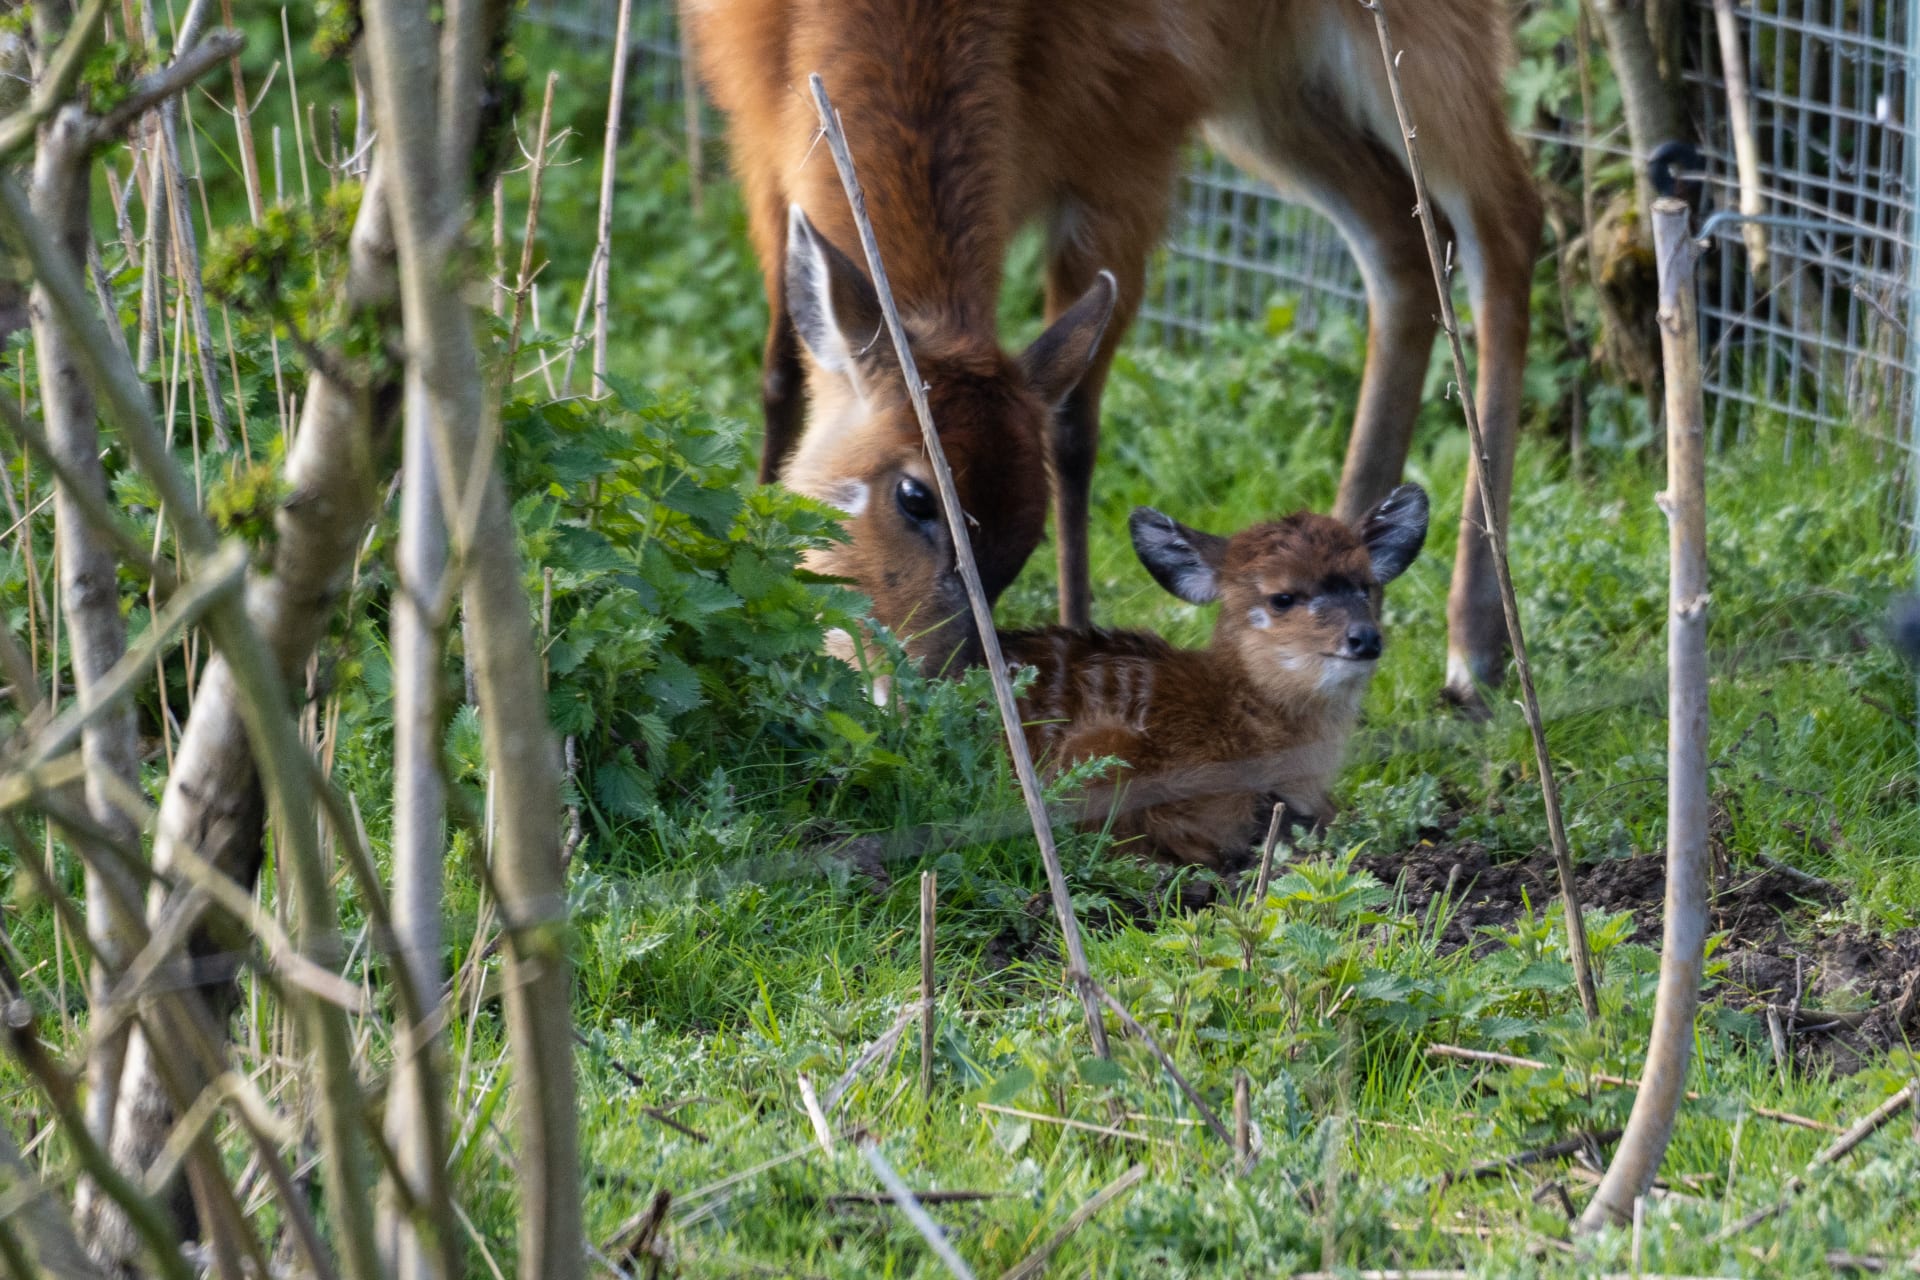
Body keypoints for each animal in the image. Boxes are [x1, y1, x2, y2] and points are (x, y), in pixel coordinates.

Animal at [683, 0, 1536, 706]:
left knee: (1506, 226)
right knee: (1402, 242)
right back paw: (1357, 565)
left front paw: (1080, 643)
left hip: (1419, 48)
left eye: (1024, 529)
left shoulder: (1128, 154)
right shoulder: (763, 143)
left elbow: (1073, 434)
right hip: (1277, 95)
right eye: (917, 496)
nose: (917, 685)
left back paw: (1476, 654)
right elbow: (782, 373)